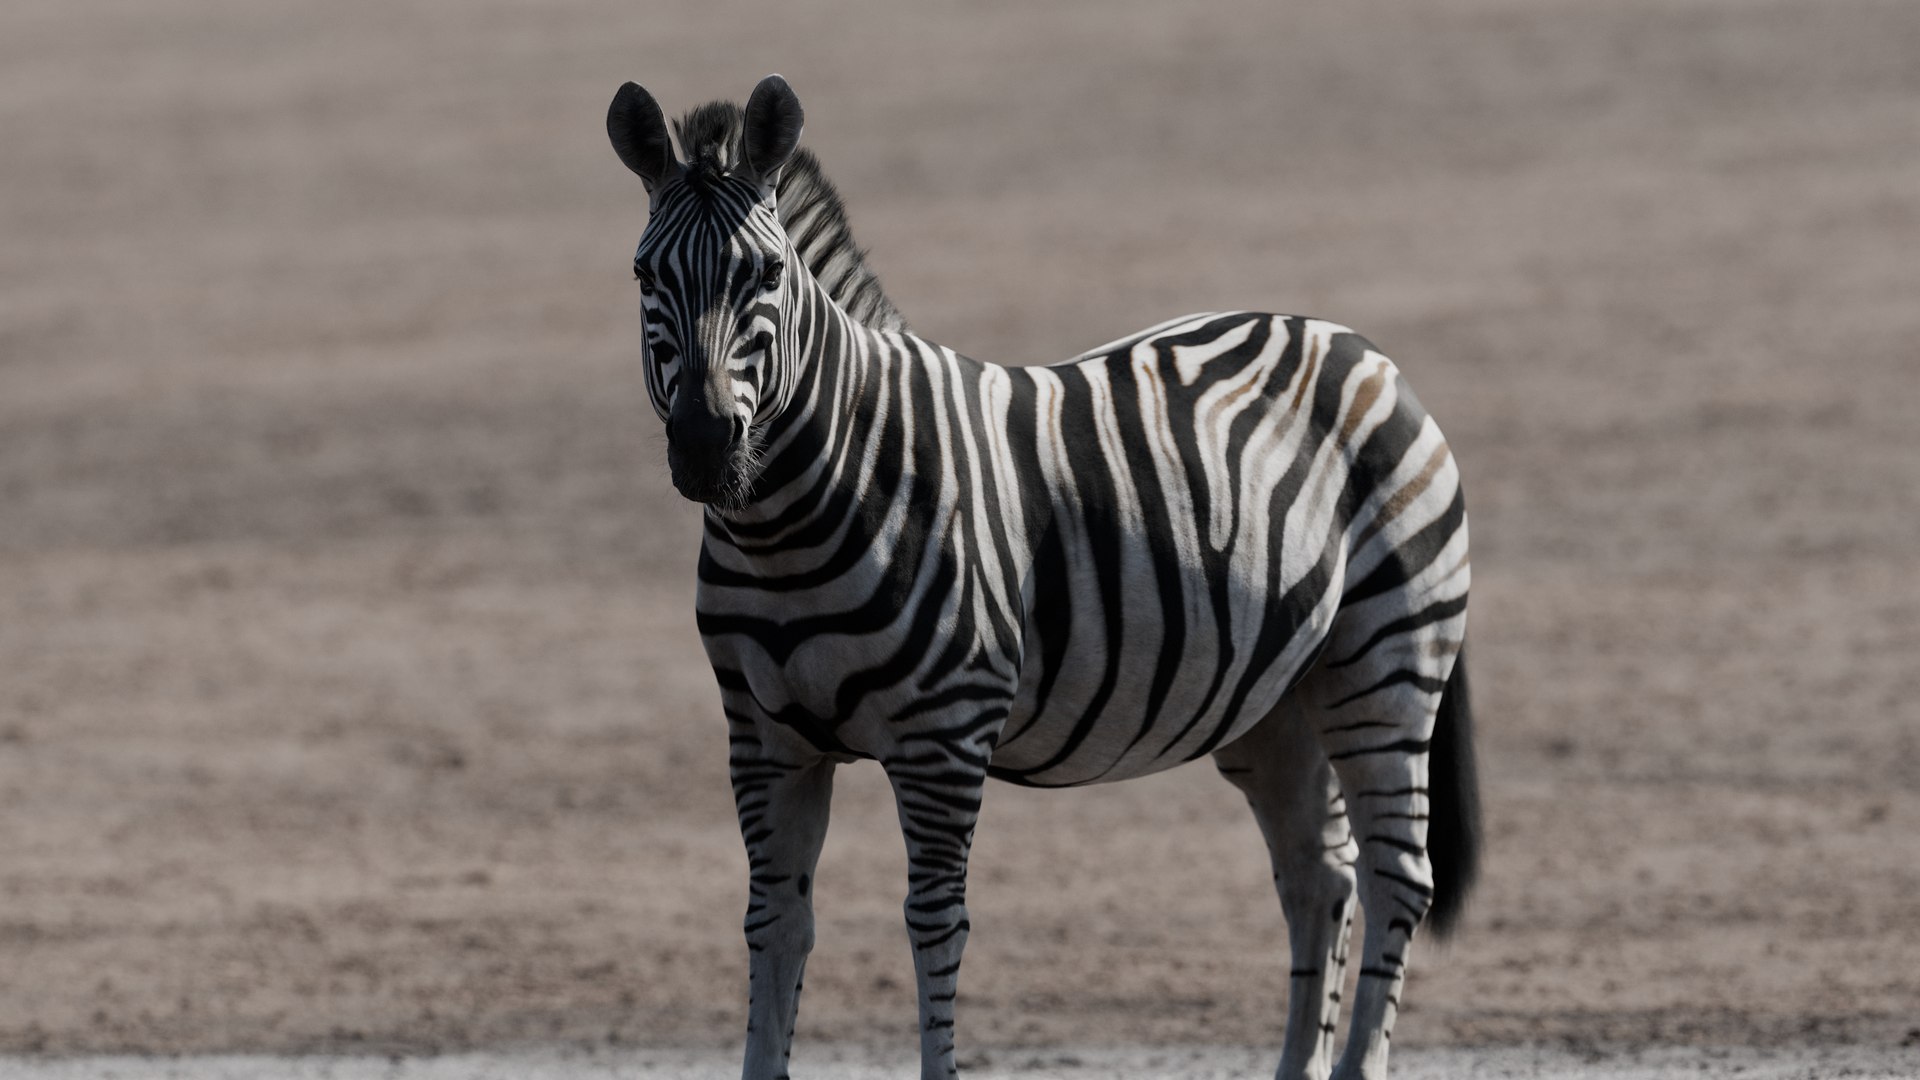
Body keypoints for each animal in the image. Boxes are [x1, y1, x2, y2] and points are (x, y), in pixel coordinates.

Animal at [606, 75, 1481, 1080]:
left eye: (766, 277)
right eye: (645, 277)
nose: (705, 448)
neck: (788, 525)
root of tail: (1360, 346)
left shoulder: (943, 736)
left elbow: (934, 924)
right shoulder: (764, 738)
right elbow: (775, 924)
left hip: (1386, 661)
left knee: (1395, 876)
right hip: (1278, 703)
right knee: (1318, 875)